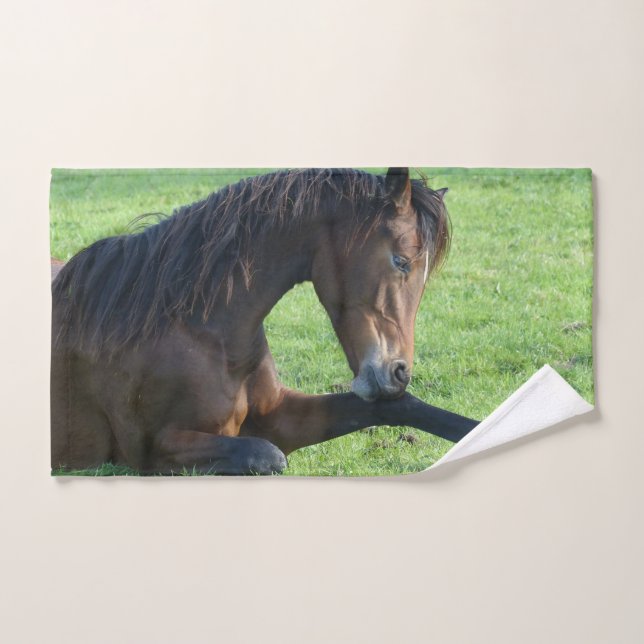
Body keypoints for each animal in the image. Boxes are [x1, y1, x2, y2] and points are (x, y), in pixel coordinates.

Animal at [51, 167, 478, 475]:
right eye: (400, 261)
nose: (399, 372)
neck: (195, 328)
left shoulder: (281, 415)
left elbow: (401, 407)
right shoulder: (153, 450)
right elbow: (267, 456)